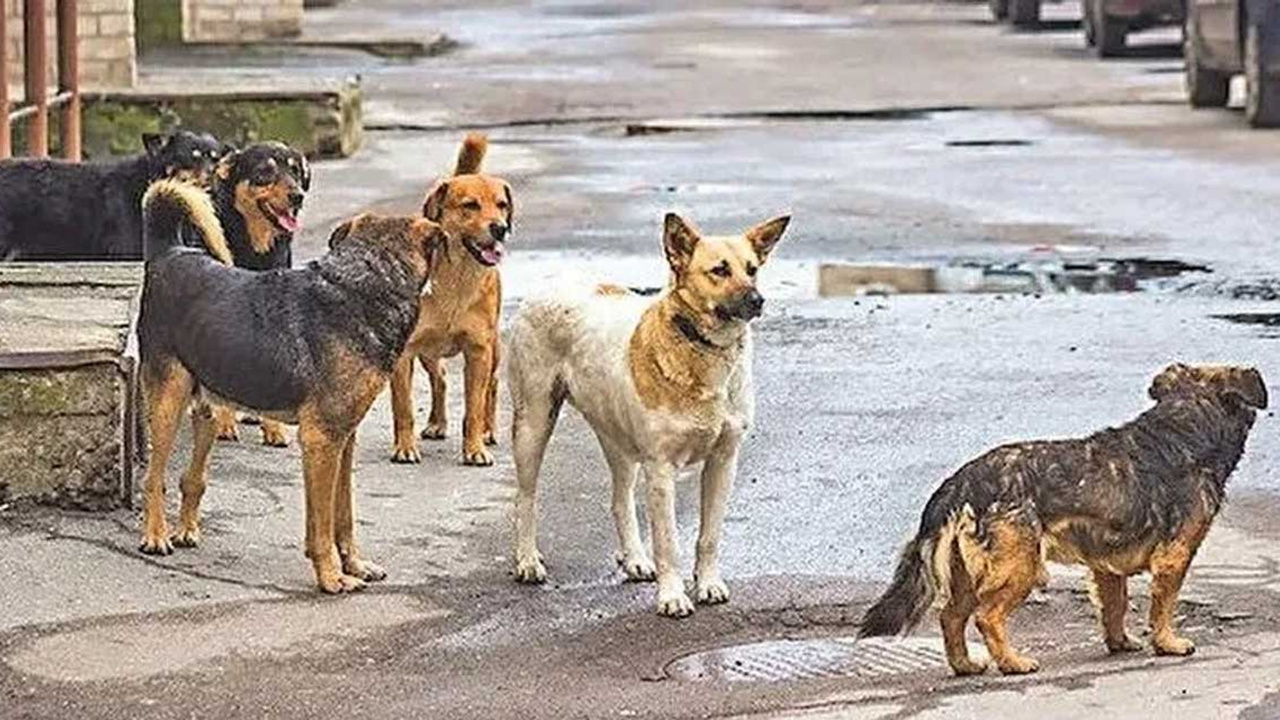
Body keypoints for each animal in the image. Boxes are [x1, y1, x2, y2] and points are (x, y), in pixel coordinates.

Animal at [389, 133, 509, 466]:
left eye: (502, 205)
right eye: (470, 205)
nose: (501, 228)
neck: (457, 277)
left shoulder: (478, 350)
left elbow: (474, 407)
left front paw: (475, 448)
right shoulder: (404, 352)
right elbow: (403, 407)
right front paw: (405, 447)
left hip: (494, 347)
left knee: (492, 386)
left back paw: (488, 431)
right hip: (428, 350)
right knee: (440, 378)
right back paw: (437, 423)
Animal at [506, 210, 788, 614]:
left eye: (752, 269)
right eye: (719, 270)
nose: (758, 300)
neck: (701, 349)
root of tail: (551, 282)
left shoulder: (723, 462)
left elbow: (709, 536)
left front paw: (708, 584)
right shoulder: (661, 469)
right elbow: (668, 542)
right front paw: (672, 596)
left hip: (618, 439)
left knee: (619, 499)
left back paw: (635, 559)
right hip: (533, 423)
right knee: (525, 497)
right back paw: (527, 560)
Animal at [860, 363, 1269, 671]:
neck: (1183, 426)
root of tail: (961, 482)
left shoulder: (1107, 566)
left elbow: (1115, 607)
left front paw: (1119, 642)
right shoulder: (1175, 556)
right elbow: (1163, 606)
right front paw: (1168, 643)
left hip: (966, 573)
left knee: (950, 617)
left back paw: (965, 665)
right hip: (1020, 566)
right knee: (987, 617)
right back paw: (1013, 662)